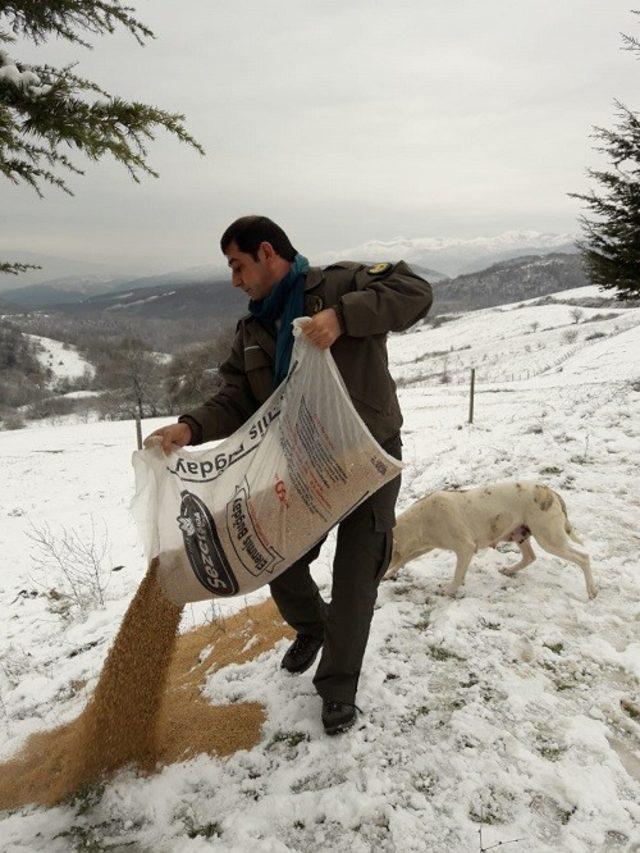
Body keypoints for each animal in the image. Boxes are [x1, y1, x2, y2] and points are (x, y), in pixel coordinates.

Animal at [384, 480, 600, 600]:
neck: (421, 520)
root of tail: (552, 492)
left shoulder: (465, 548)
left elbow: (457, 575)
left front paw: (450, 589)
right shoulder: (424, 546)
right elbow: (405, 559)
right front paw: (389, 573)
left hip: (550, 540)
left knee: (583, 558)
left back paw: (591, 591)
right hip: (521, 534)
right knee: (529, 557)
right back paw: (510, 570)